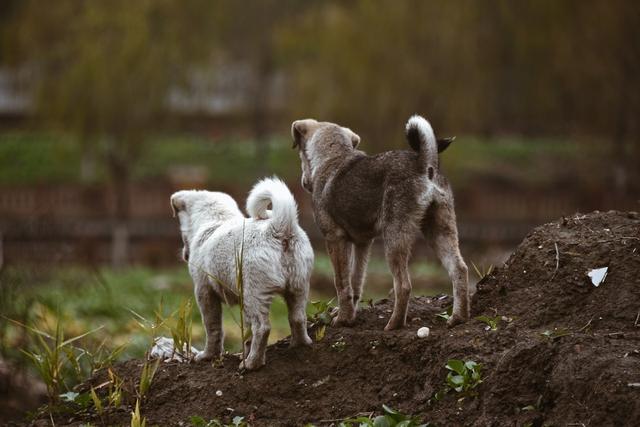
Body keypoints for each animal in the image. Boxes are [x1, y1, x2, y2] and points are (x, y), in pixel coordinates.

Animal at [171, 178, 314, 372]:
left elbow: (213, 327)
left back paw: (252, 363)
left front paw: (208, 356)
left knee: (262, 328)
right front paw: (243, 353)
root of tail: (279, 228)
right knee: (297, 318)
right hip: (298, 287)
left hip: (255, 293)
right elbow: (247, 333)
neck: (217, 220)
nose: (185, 255)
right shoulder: (242, 301)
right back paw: (299, 345)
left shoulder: (204, 292)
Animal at [292, 115, 468, 330]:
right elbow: (356, 281)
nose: (304, 183)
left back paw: (394, 324)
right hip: (440, 229)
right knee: (459, 269)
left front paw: (342, 319)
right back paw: (458, 317)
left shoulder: (335, 238)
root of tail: (425, 164)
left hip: (394, 237)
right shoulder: (362, 243)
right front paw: (350, 317)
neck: (333, 157)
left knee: (403, 285)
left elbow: (342, 283)